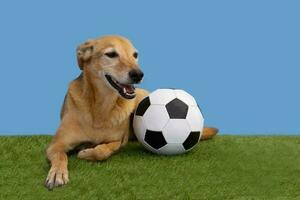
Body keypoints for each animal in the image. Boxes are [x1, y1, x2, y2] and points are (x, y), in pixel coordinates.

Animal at [44, 35, 218, 190]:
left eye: (135, 55)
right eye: (111, 54)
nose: (138, 74)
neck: (100, 108)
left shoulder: (118, 141)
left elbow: (103, 151)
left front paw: (86, 152)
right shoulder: (56, 145)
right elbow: (61, 156)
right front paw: (57, 173)